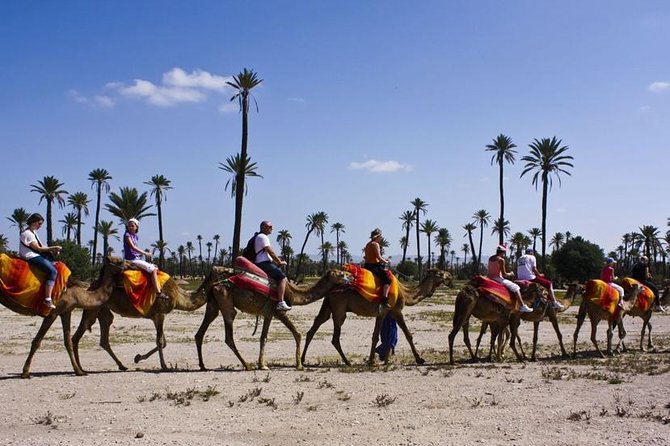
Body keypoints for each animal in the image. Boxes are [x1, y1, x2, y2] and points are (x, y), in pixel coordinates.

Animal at [71, 265, 226, 372]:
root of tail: (91, 285)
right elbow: (160, 341)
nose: (230, 269)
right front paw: (164, 366)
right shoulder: (160, 313)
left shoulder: (155, 316)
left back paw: (121, 365)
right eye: (223, 271)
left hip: (102, 309)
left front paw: (138, 357)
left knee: (104, 335)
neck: (177, 296)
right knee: (79, 334)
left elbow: (163, 342)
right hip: (93, 307)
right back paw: (80, 369)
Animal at [195, 268, 351, 371]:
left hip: (213, 305)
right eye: (342, 273)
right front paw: (299, 364)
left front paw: (262, 364)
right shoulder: (278, 311)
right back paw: (247, 365)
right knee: (229, 335)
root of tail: (215, 285)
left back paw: (203, 366)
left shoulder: (268, 314)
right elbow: (297, 334)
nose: (350, 279)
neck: (293, 293)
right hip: (225, 300)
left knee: (200, 333)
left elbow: (264, 337)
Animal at [301, 268, 452, 367]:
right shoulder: (395, 311)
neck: (405, 293)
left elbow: (380, 336)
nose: (450, 276)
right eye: (440, 273)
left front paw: (377, 360)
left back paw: (303, 360)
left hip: (327, 307)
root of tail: (332, 289)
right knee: (335, 338)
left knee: (314, 328)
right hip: (339, 310)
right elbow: (407, 335)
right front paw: (419, 359)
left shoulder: (385, 314)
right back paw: (347, 362)